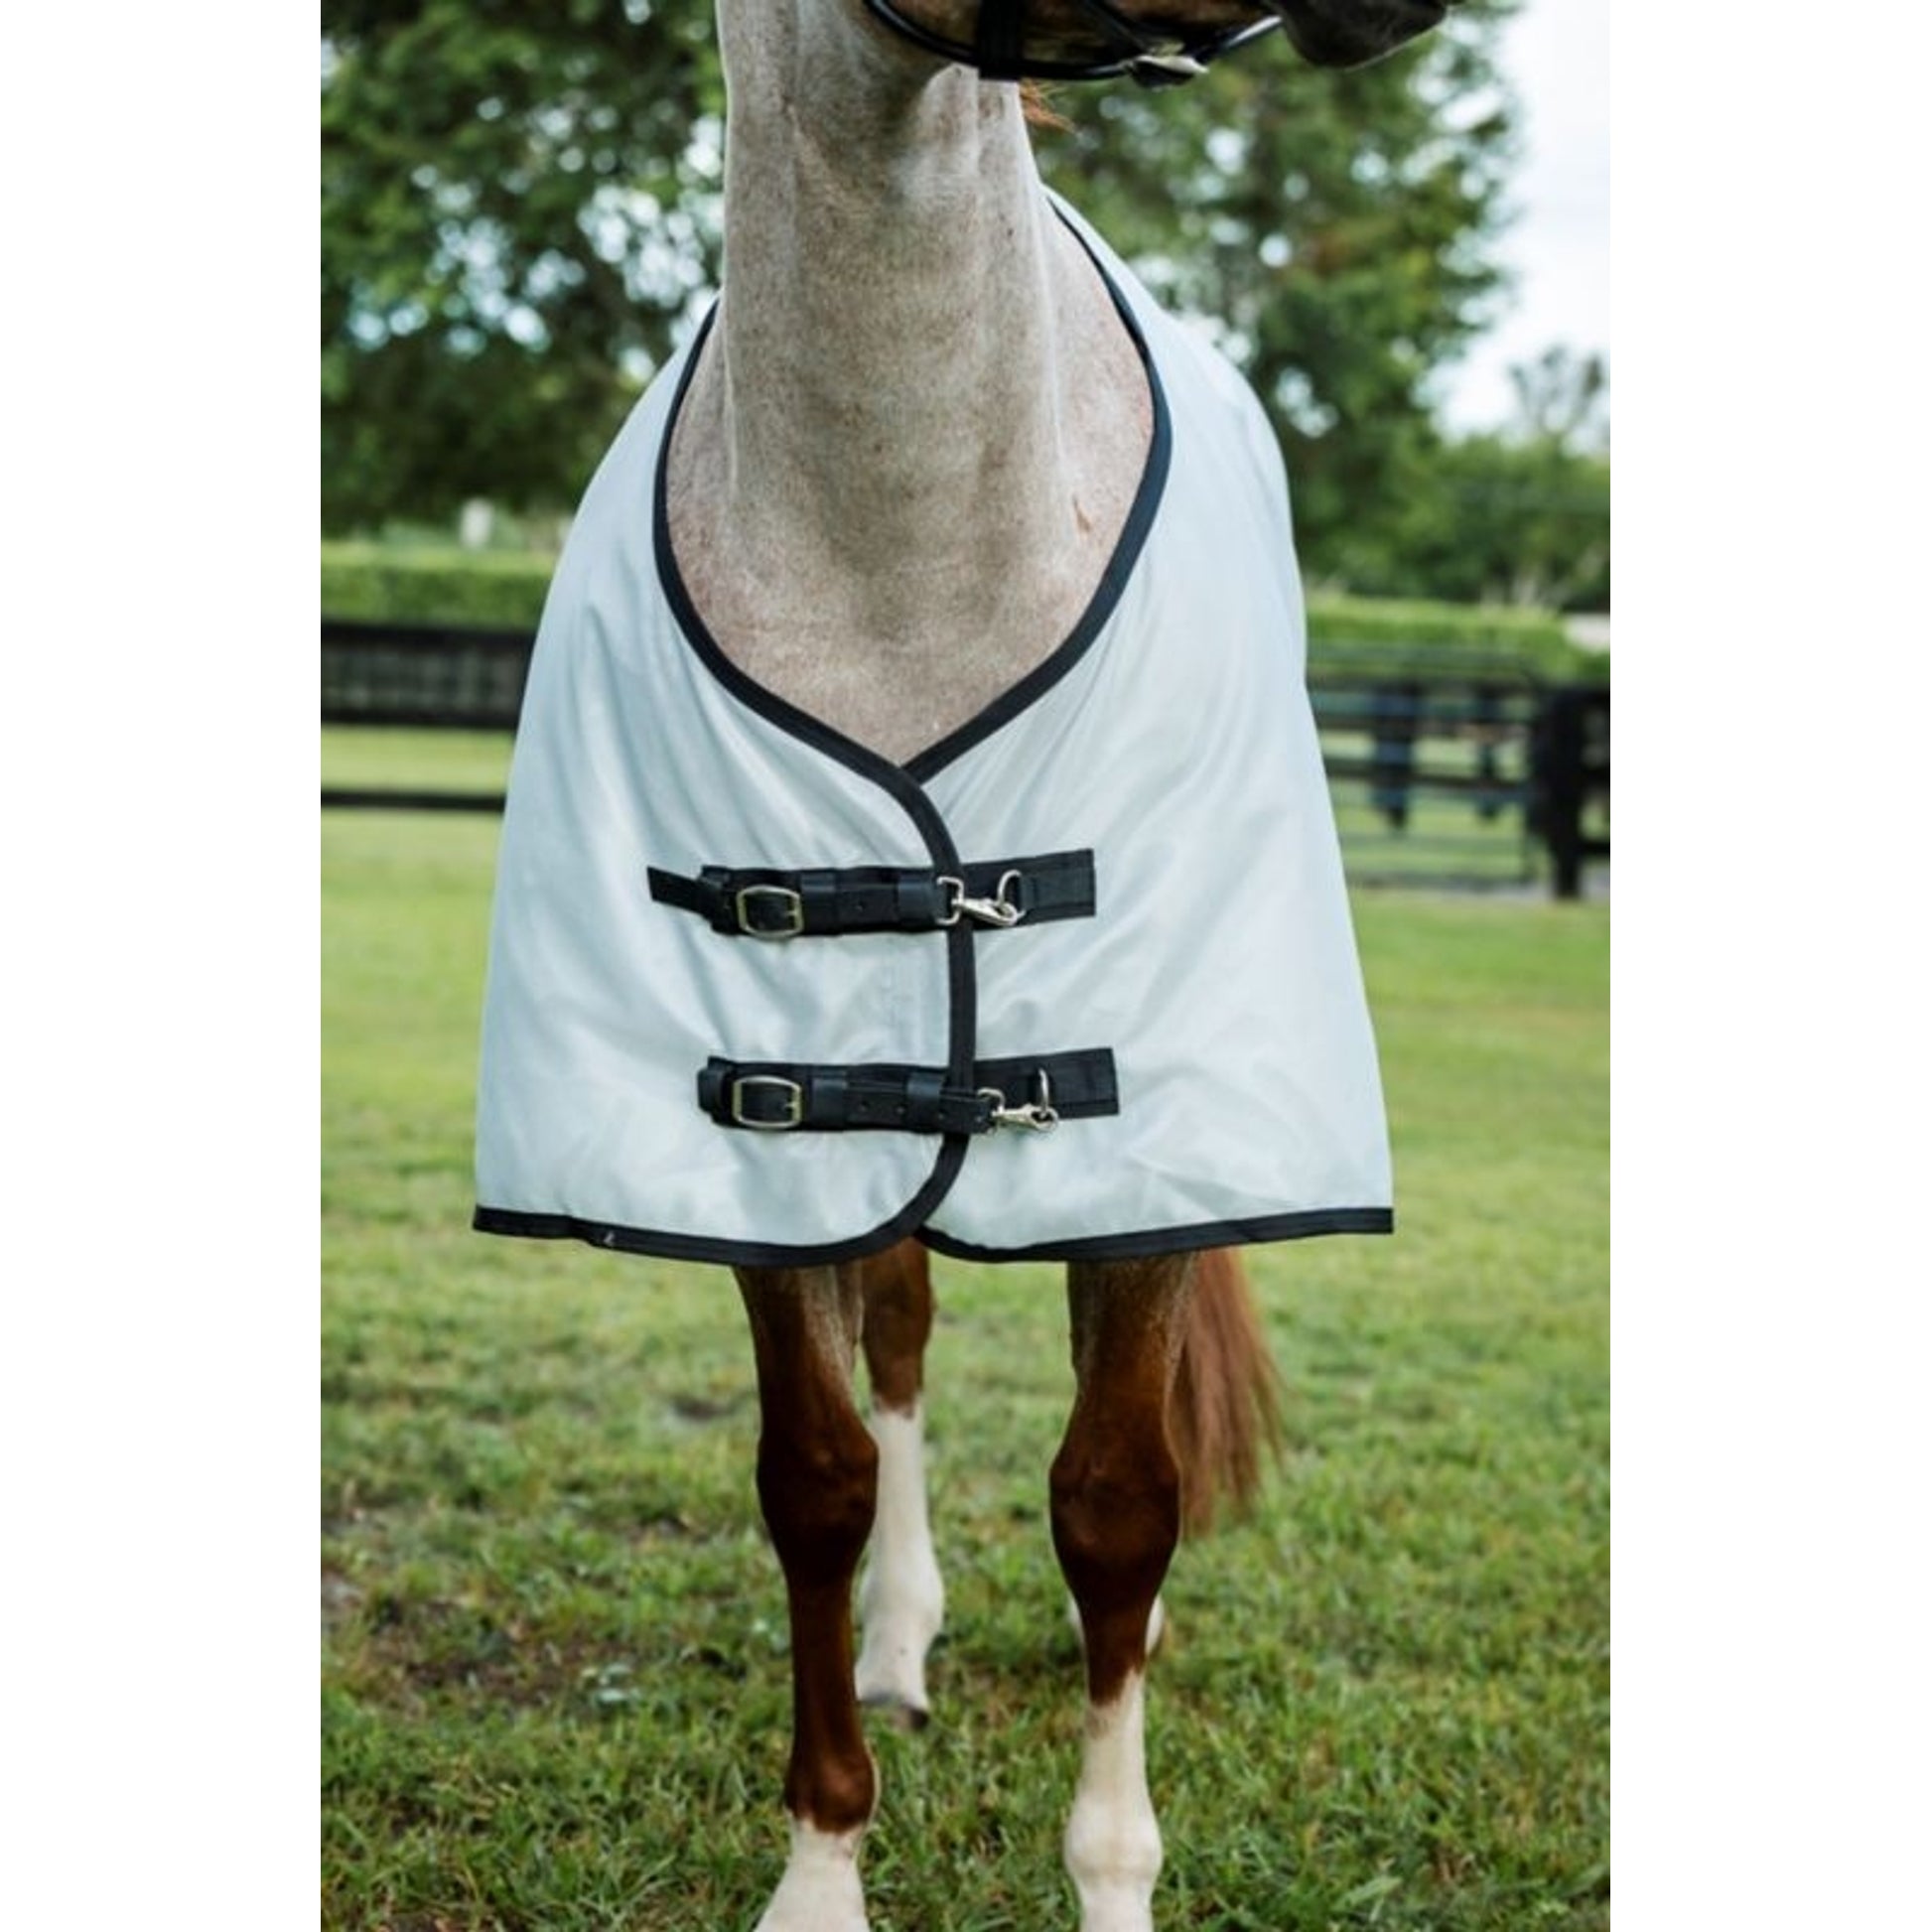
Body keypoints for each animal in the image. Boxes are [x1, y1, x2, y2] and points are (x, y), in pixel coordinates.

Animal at [472, 4, 1451, 1926]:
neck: (898, 560)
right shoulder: (765, 1128)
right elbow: (817, 1478)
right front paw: (821, 1865)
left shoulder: (1148, 1141)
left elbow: (1117, 1499)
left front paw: (1112, 1876)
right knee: (907, 1332)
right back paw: (900, 1640)